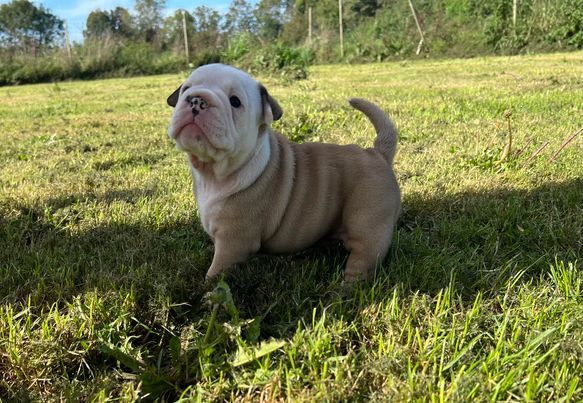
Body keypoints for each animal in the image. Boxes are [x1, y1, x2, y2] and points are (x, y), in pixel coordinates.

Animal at [167, 64, 400, 282]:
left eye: (235, 101)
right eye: (186, 89)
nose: (197, 99)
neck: (212, 173)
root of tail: (377, 153)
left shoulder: (233, 242)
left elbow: (216, 272)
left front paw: (208, 291)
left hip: (367, 224)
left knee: (362, 260)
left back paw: (346, 288)